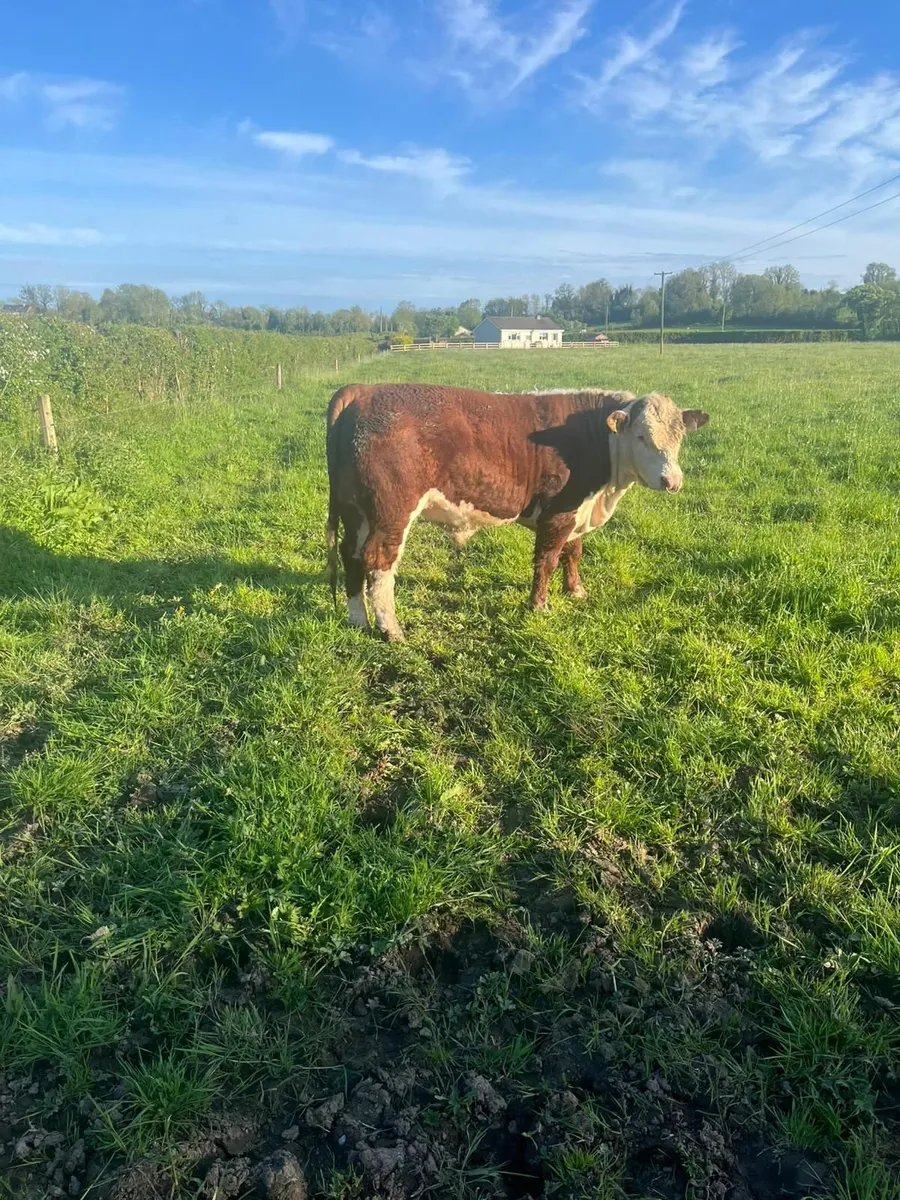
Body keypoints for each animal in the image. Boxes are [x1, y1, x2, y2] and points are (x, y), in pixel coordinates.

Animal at [326, 384, 709, 641]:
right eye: (642, 436)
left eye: (679, 437)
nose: (672, 480)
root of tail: (364, 390)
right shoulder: (558, 511)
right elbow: (548, 560)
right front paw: (539, 605)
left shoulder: (578, 510)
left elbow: (574, 552)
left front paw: (576, 591)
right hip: (392, 510)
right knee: (378, 561)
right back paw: (391, 630)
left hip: (355, 509)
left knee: (351, 555)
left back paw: (358, 619)